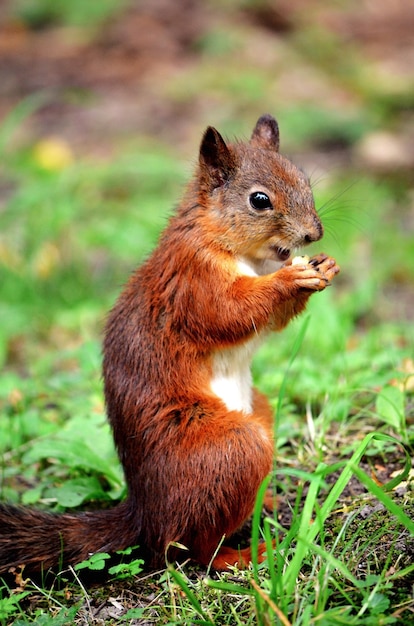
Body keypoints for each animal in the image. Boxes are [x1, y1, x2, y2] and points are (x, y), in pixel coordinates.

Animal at [0, 114, 340, 572]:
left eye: (303, 178)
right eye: (259, 200)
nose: (313, 234)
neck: (245, 255)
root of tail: (146, 517)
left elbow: (269, 322)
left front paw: (325, 267)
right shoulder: (191, 280)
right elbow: (229, 312)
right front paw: (291, 278)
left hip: (260, 412)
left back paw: (264, 500)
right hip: (232, 450)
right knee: (194, 548)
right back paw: (244, 553)